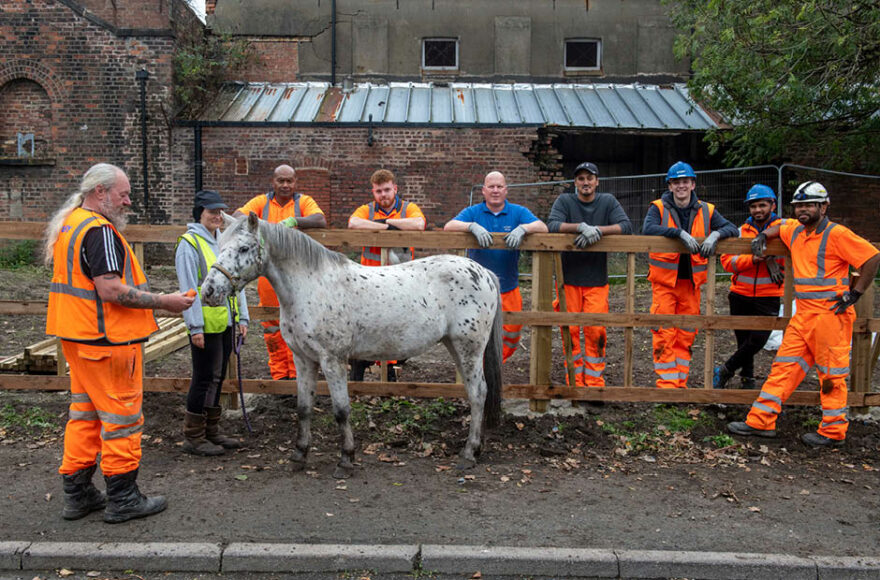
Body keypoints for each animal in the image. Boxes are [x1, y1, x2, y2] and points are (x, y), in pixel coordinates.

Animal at [201, 215, 502, 478]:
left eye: (243, 248)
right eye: (220, 245)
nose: (208, 291)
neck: (312, 286)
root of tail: (484, 273)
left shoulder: (332, 360)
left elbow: (341, 410)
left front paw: (346, 460)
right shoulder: (303, 359)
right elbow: (304, 408)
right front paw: (299, 456)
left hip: (469, 348)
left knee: (478, 393)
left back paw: (469, 453)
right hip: (455, 346)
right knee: (474, 392)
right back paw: (475, 449)